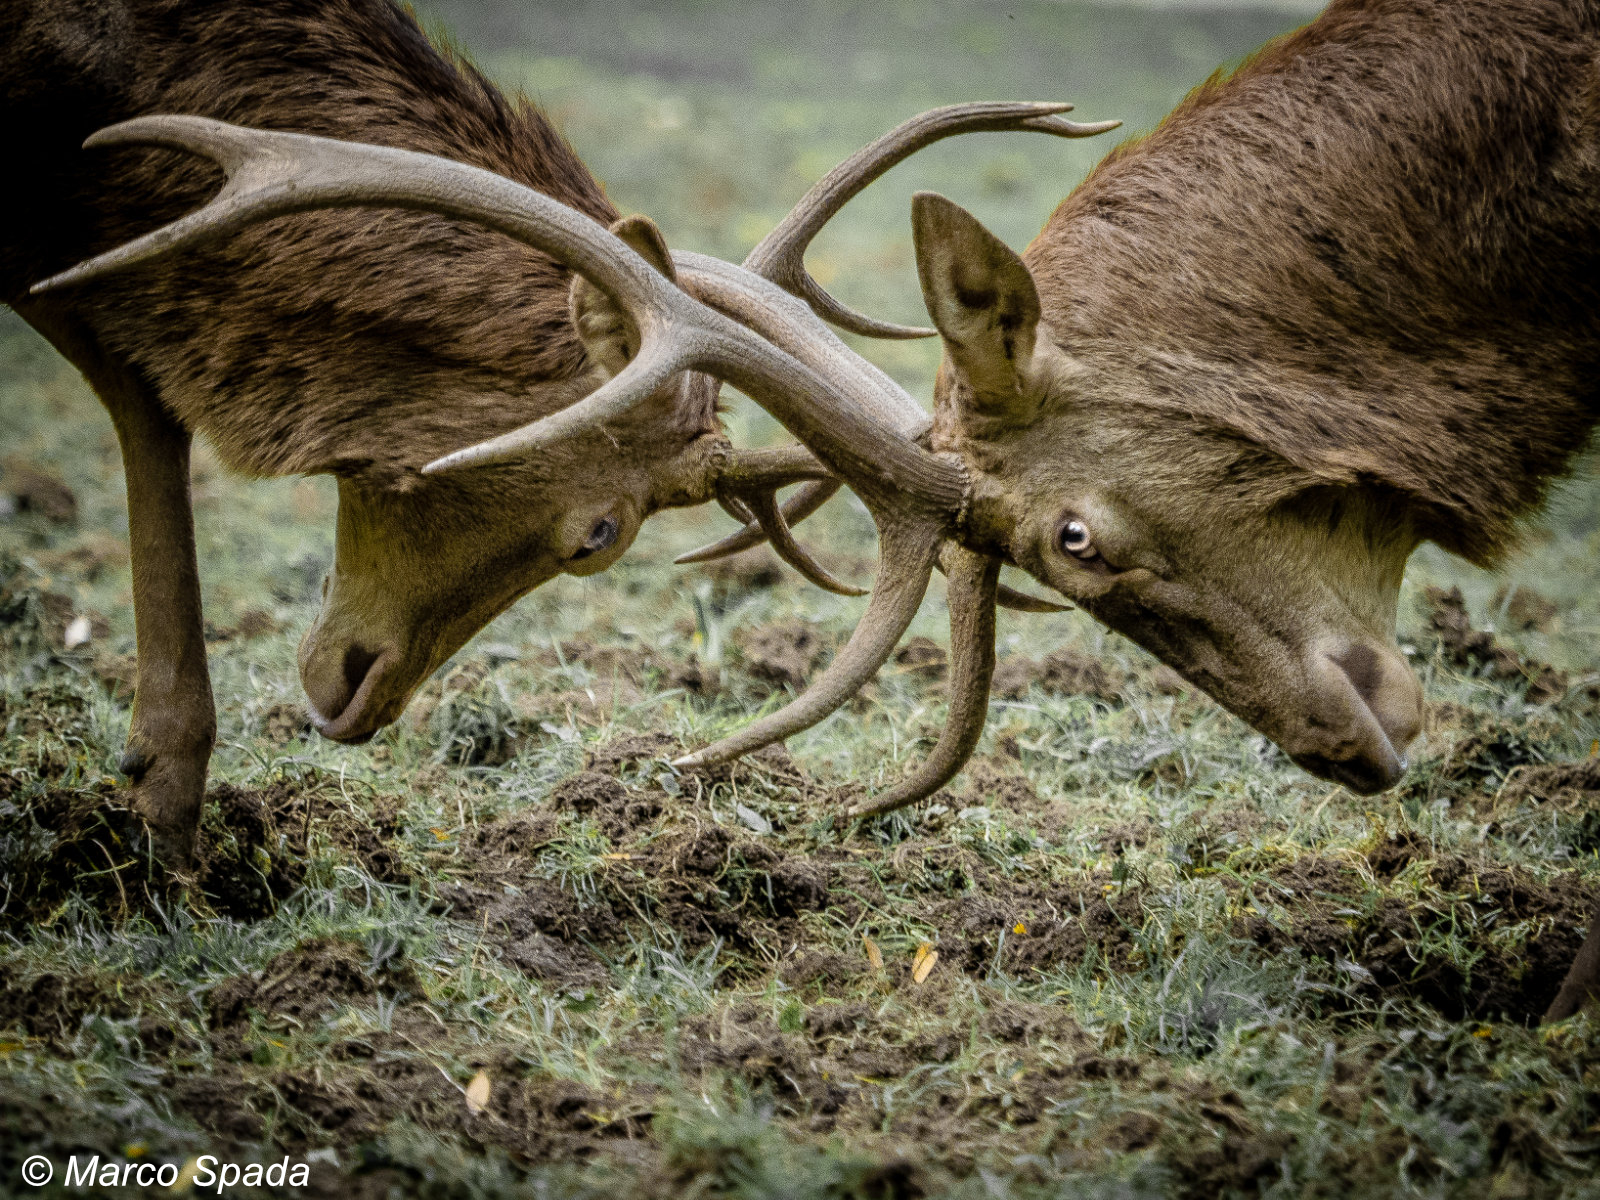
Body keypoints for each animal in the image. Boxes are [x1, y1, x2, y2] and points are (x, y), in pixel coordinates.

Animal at [4, 0, 1114, 863]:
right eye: (601, 535)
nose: (353, 695)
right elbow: (141, 397)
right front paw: (164, 803)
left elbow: (146, 398)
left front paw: (164, 800)